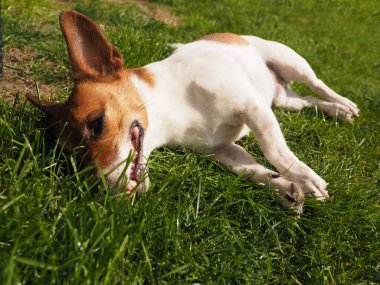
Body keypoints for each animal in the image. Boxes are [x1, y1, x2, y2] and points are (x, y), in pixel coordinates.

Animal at [26, 11, 360, 215]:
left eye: (97, 125)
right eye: (75, 161)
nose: (106, 195)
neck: (173, 108)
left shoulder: (253, 108)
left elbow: (275, 151)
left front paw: (305, 178)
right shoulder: (222, 149)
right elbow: (250, 170)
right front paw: (285, 188)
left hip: (291, 62)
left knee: (318, 86)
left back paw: (345, 105)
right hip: (285, 101)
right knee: (307, 101)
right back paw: (337, 111)